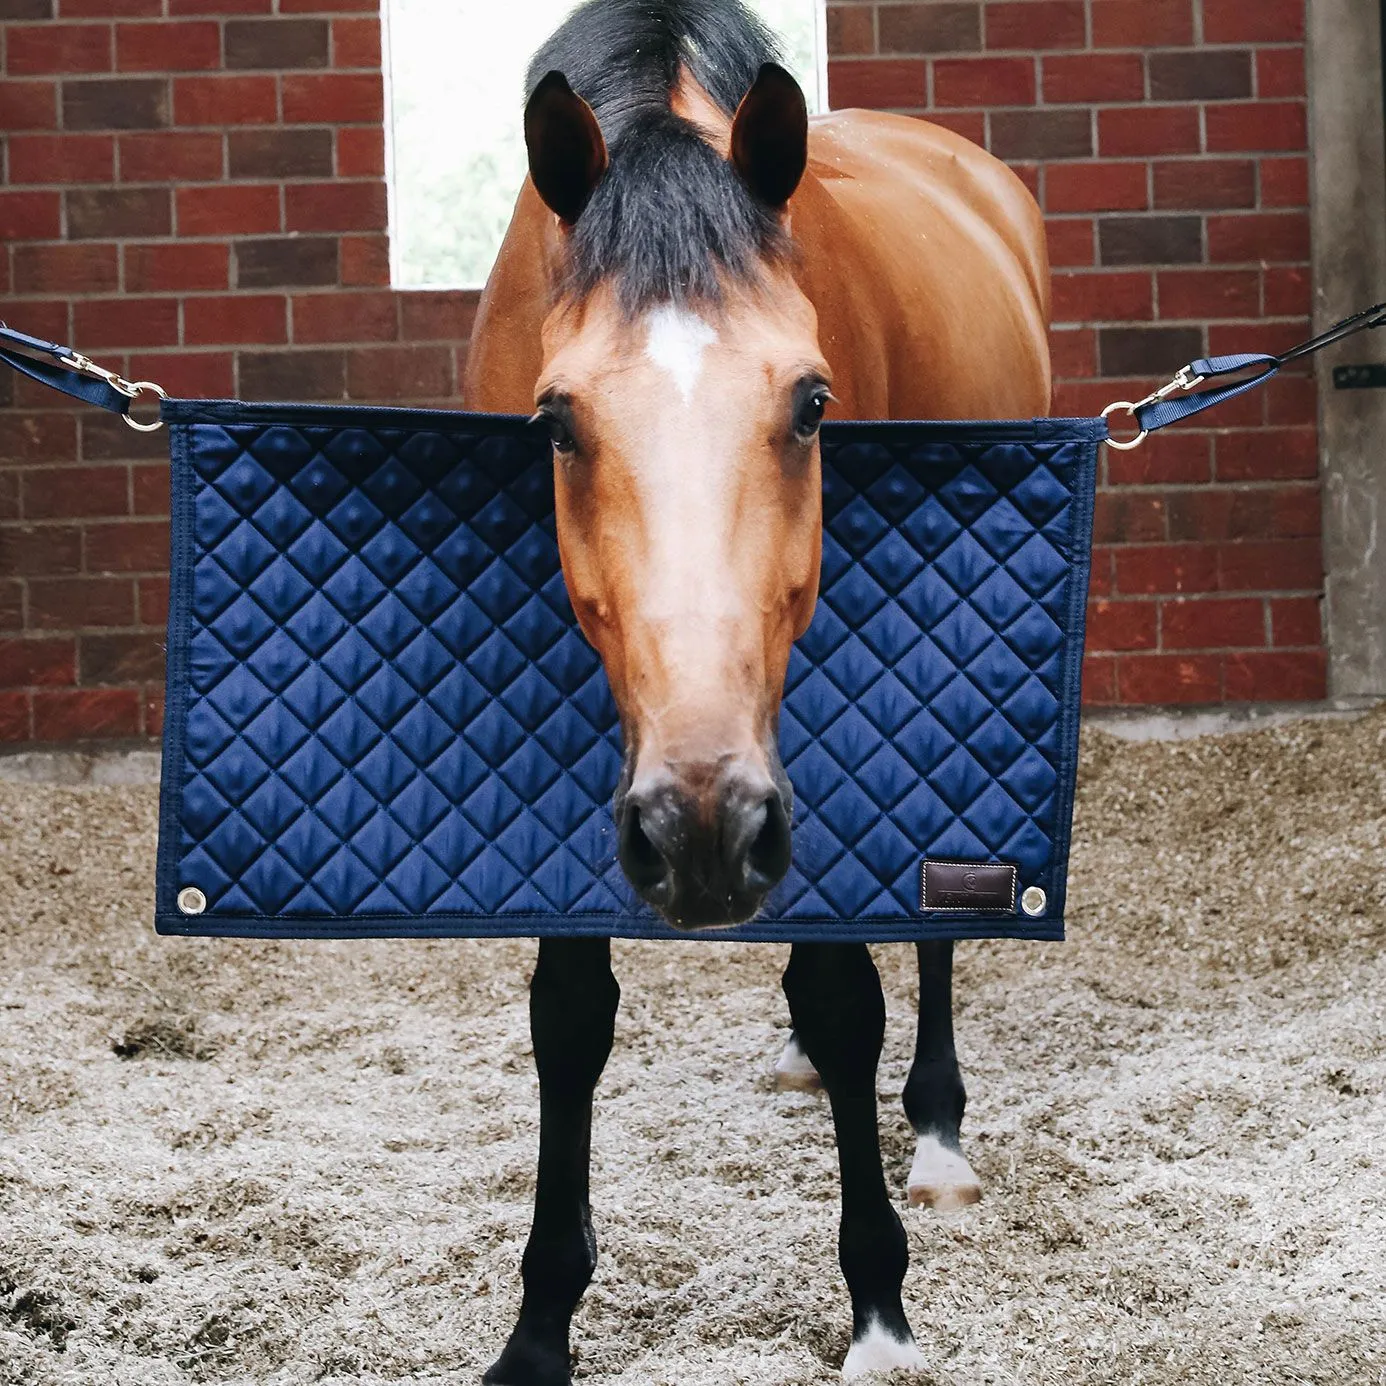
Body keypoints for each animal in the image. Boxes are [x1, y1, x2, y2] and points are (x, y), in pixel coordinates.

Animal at [460, 0, 1042, 1374]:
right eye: (556, 421)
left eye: (811, 402)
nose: (706, 833)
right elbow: (570, 1014)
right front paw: (539, 1325)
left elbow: (846, 994)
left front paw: (878, 1307)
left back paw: (937, 1134)